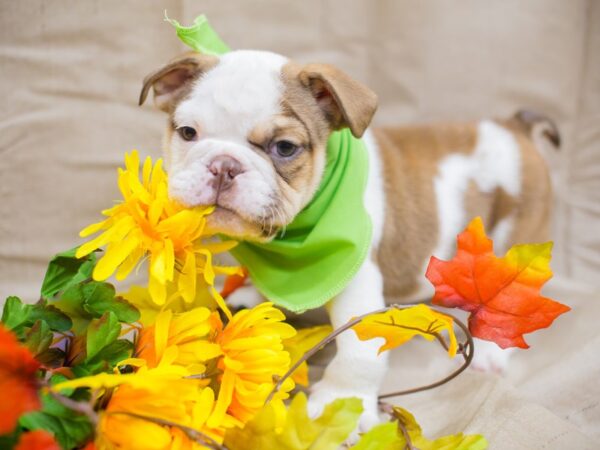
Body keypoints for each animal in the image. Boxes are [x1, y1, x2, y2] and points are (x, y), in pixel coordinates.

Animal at [139, 50, 556, 432]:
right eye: (188, 133)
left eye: (285, 147)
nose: (224, 164)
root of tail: (513, 127)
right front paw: (249, 297)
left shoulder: (356, 278)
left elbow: (359, 349)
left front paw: (339, 403)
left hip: (516, 241)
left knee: (506, 300)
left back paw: (489, 352)